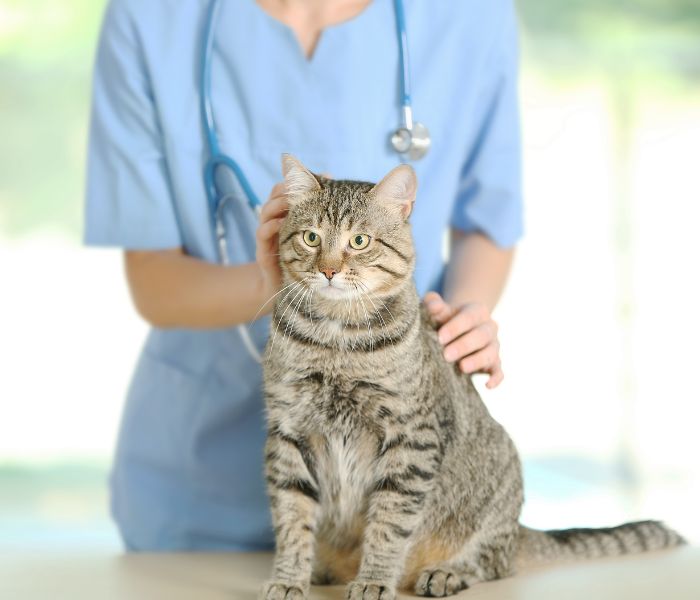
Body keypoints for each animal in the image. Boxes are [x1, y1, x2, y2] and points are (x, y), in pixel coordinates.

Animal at [262, 156, 684, 600]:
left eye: (359, 241)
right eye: (311, 238)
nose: (328, 269)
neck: (336, 340)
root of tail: (519, 530)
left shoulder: (410, 438)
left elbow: (389, 524)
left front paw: (374, 579)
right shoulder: (288, 432)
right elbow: (292, 518)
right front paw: (289, 578)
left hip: (500, 482)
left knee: (493, 561)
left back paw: (447, 572)